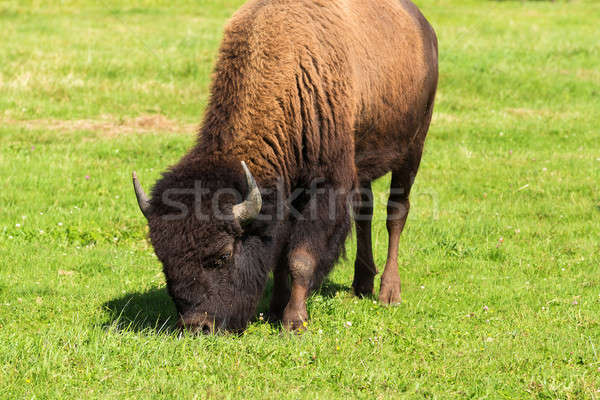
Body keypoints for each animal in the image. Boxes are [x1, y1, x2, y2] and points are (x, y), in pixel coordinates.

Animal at [134, 0, 438, 332]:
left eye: (223, 256)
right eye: (164, 260)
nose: (196, 326)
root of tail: (424, 27)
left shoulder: (325, 188)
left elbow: (300, 258)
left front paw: (293, 321)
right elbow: (279, 254)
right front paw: (275, 309)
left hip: (413, 150)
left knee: (396, 214)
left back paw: (388, 293)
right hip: (365, 166)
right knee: (364, 214)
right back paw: (361, 285)